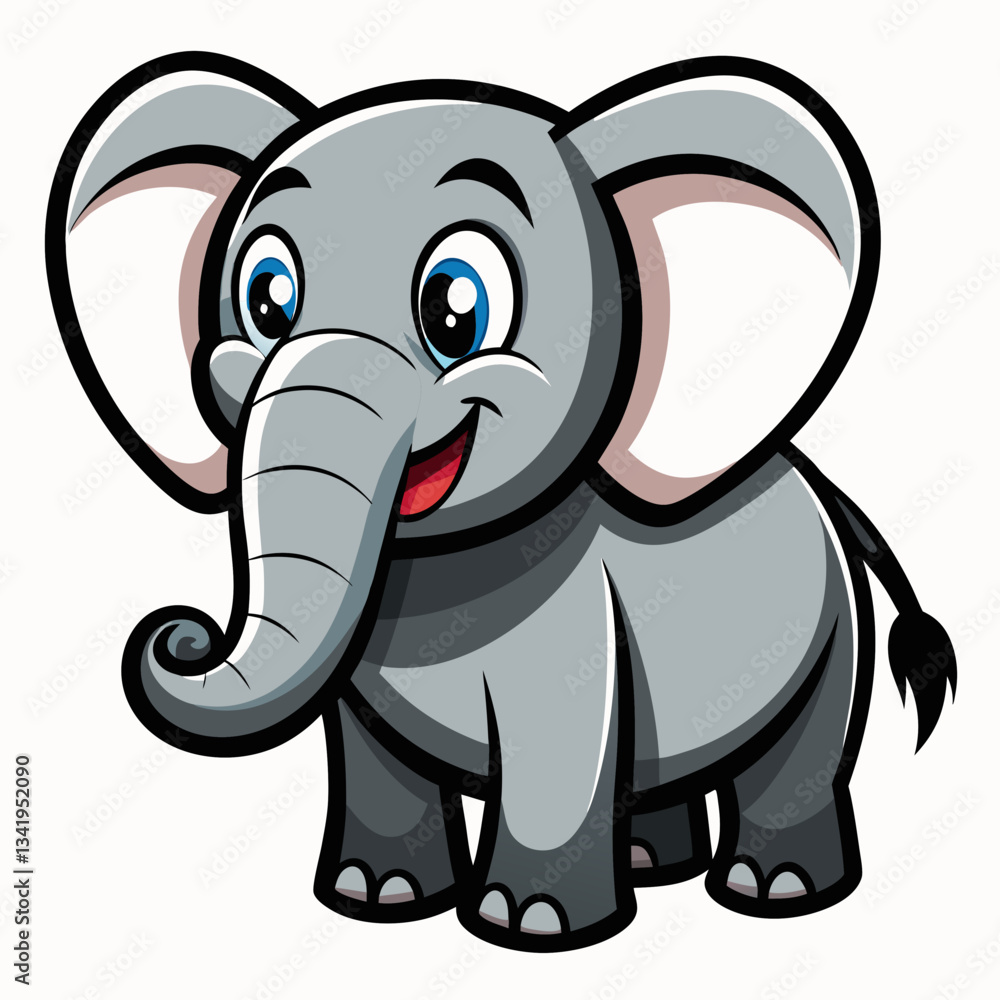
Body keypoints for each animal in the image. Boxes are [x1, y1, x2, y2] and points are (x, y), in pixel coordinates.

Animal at [47, 52, 957, 952]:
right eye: (267, 298)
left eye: (457, 308)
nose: (179, 634)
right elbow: (369, 749)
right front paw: (375, 895)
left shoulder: (579, 623)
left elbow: (557, 747)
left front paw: (529, 924)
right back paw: (651, 862)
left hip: (836, 631)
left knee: (803, 755)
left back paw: (776, 890)